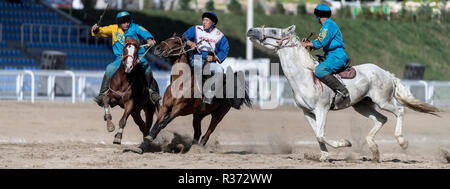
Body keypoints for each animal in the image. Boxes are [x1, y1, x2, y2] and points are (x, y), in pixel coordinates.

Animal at [246, 25, 440, 162]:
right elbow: (317, 135)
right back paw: (374, 150)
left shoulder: (322, 109)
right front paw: (324, 156)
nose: (250, 30)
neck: (304, 75)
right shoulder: (307, 112)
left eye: (273, 30)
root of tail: (385, 72)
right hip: (362, 106)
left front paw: (344, 143)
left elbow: (321, 134)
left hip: (383, 101)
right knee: (381, 119)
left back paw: (401, 141)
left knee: (399, 111)